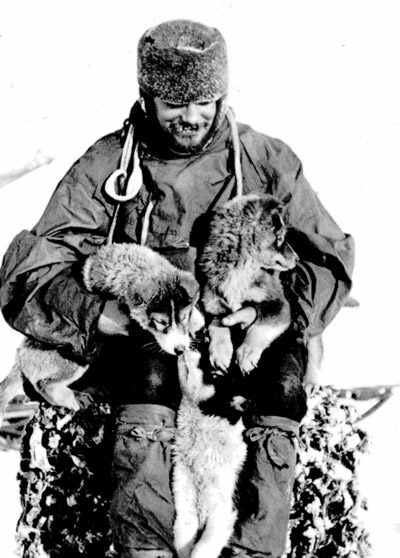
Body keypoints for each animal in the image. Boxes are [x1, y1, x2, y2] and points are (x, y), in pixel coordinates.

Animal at [0, 245, 202, 424]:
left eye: (184, 317)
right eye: (160, 322)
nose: (180, 350)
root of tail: (20, 357)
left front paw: (196, 321)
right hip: (74, 359)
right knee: (45, 384)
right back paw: (72, 399)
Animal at [173, 350, 247, 558]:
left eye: (215, 375)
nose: (190, 348)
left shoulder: (225, 510)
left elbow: (203, 549)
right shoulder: (184, 496)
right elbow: (182, 538)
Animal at [198, 192, 298, 376]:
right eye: (279, 237)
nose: (297, 259)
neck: (241, 269)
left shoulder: (279, 304)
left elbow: (260, 326)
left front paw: (247, 353)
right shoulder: (214, 305)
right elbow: (218, 326)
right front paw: (220, 353)